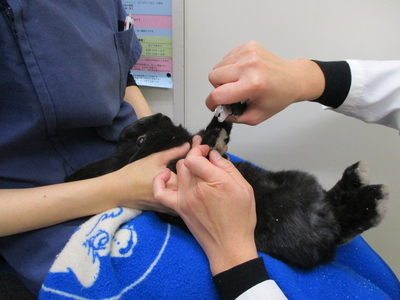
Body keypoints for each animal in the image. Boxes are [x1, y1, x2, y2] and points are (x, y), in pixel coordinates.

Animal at [65, 112, 388, 270]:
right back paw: (372, 199)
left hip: (300, 185)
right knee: (344, 223)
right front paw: (214, 136)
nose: (160, 115)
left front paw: (219, 126)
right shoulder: (175, 168)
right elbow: (198, 149)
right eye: (142, 140)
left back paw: (360, 185)